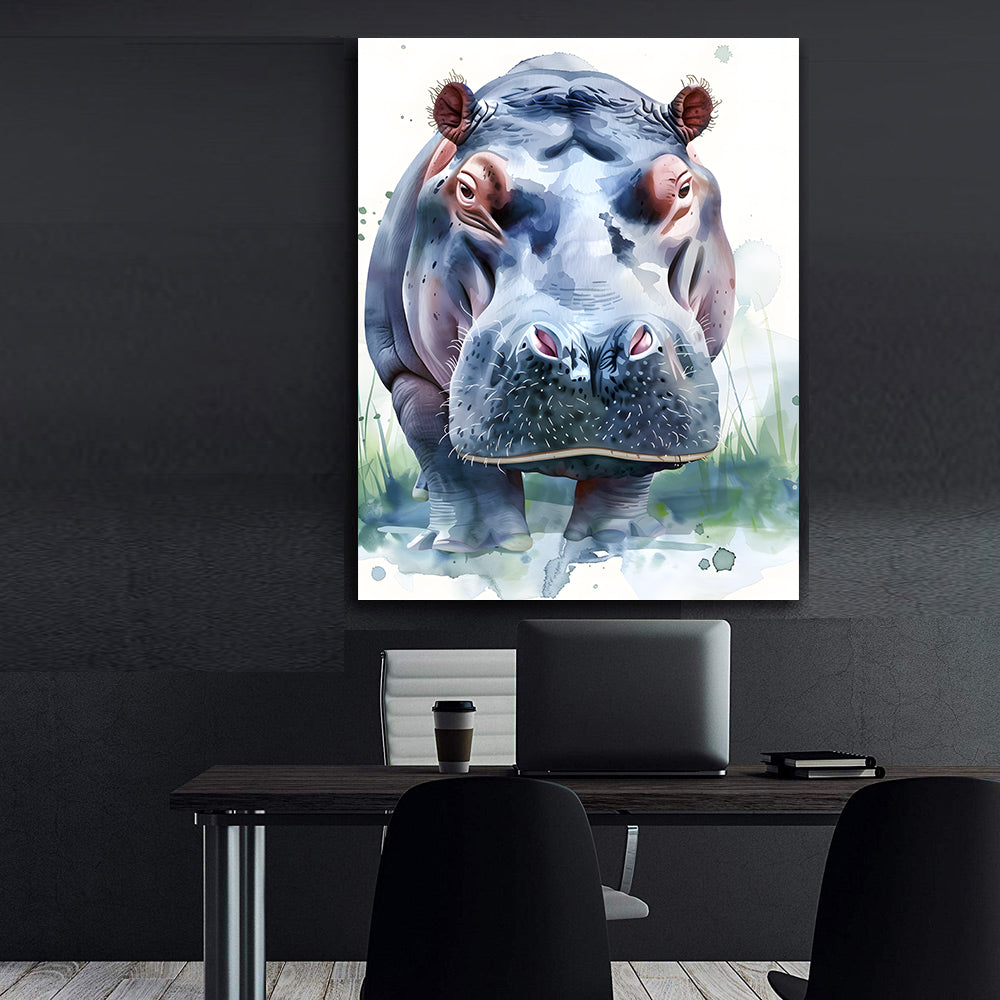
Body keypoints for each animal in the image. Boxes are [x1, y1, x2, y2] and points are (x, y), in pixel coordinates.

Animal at [365, 54, 735, 552]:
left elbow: (629, 470)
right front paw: (475, 546)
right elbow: (448, 460)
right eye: (467, 189)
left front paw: (613, 539)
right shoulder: (404, 370)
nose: (593, 347)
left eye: (680, 187)